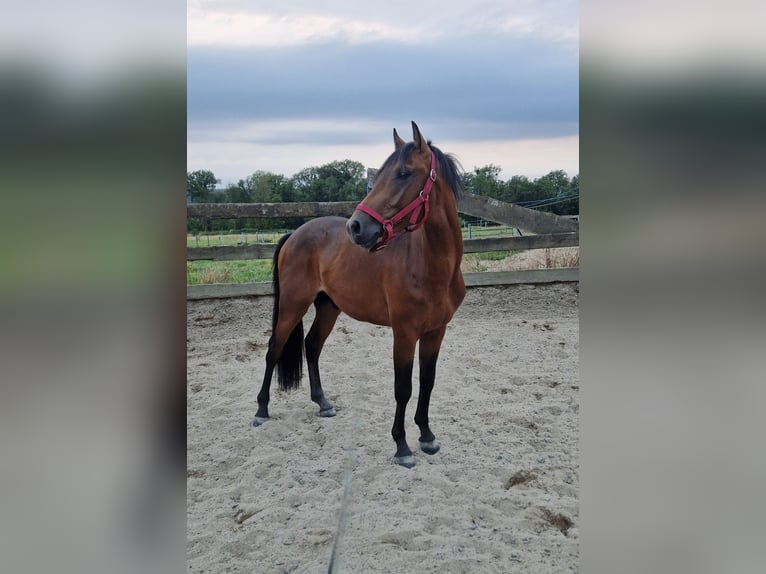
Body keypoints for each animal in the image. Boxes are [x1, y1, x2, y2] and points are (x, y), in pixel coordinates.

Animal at [255, 121, 464, 468]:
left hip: (328, 307)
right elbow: (403, 388)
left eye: (404, 173)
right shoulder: (404, 333)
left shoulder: (436, 332)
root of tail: (295, 233)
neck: (430, 266)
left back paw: (323, 403)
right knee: (275, 349)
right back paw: (261, 409)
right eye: (378, 176)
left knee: (311, 346)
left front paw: (427, 436)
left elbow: (427, 382)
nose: (356, 227)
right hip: (292, 306)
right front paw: (402, 447)